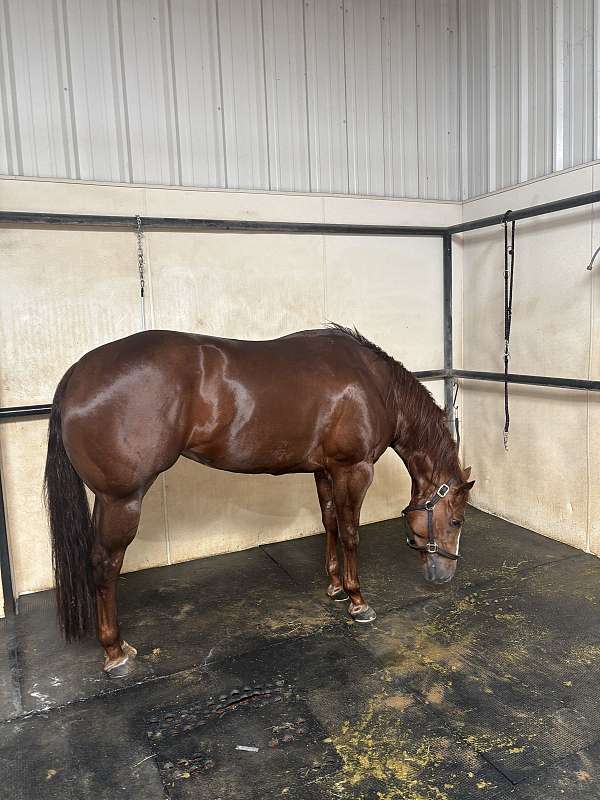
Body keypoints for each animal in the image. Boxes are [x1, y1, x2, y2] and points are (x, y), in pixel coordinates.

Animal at [43, 325, 474, 677]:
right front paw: (357, 600)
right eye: (456, 521)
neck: (374, 385)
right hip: (122, 499)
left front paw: (335, 586)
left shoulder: (325, 470)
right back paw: (115, 651)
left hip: (107, 500)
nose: (445, 575)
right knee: (105, 564)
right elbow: (351, 532)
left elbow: (330, 523)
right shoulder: (354, 470)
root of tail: (78, 373)